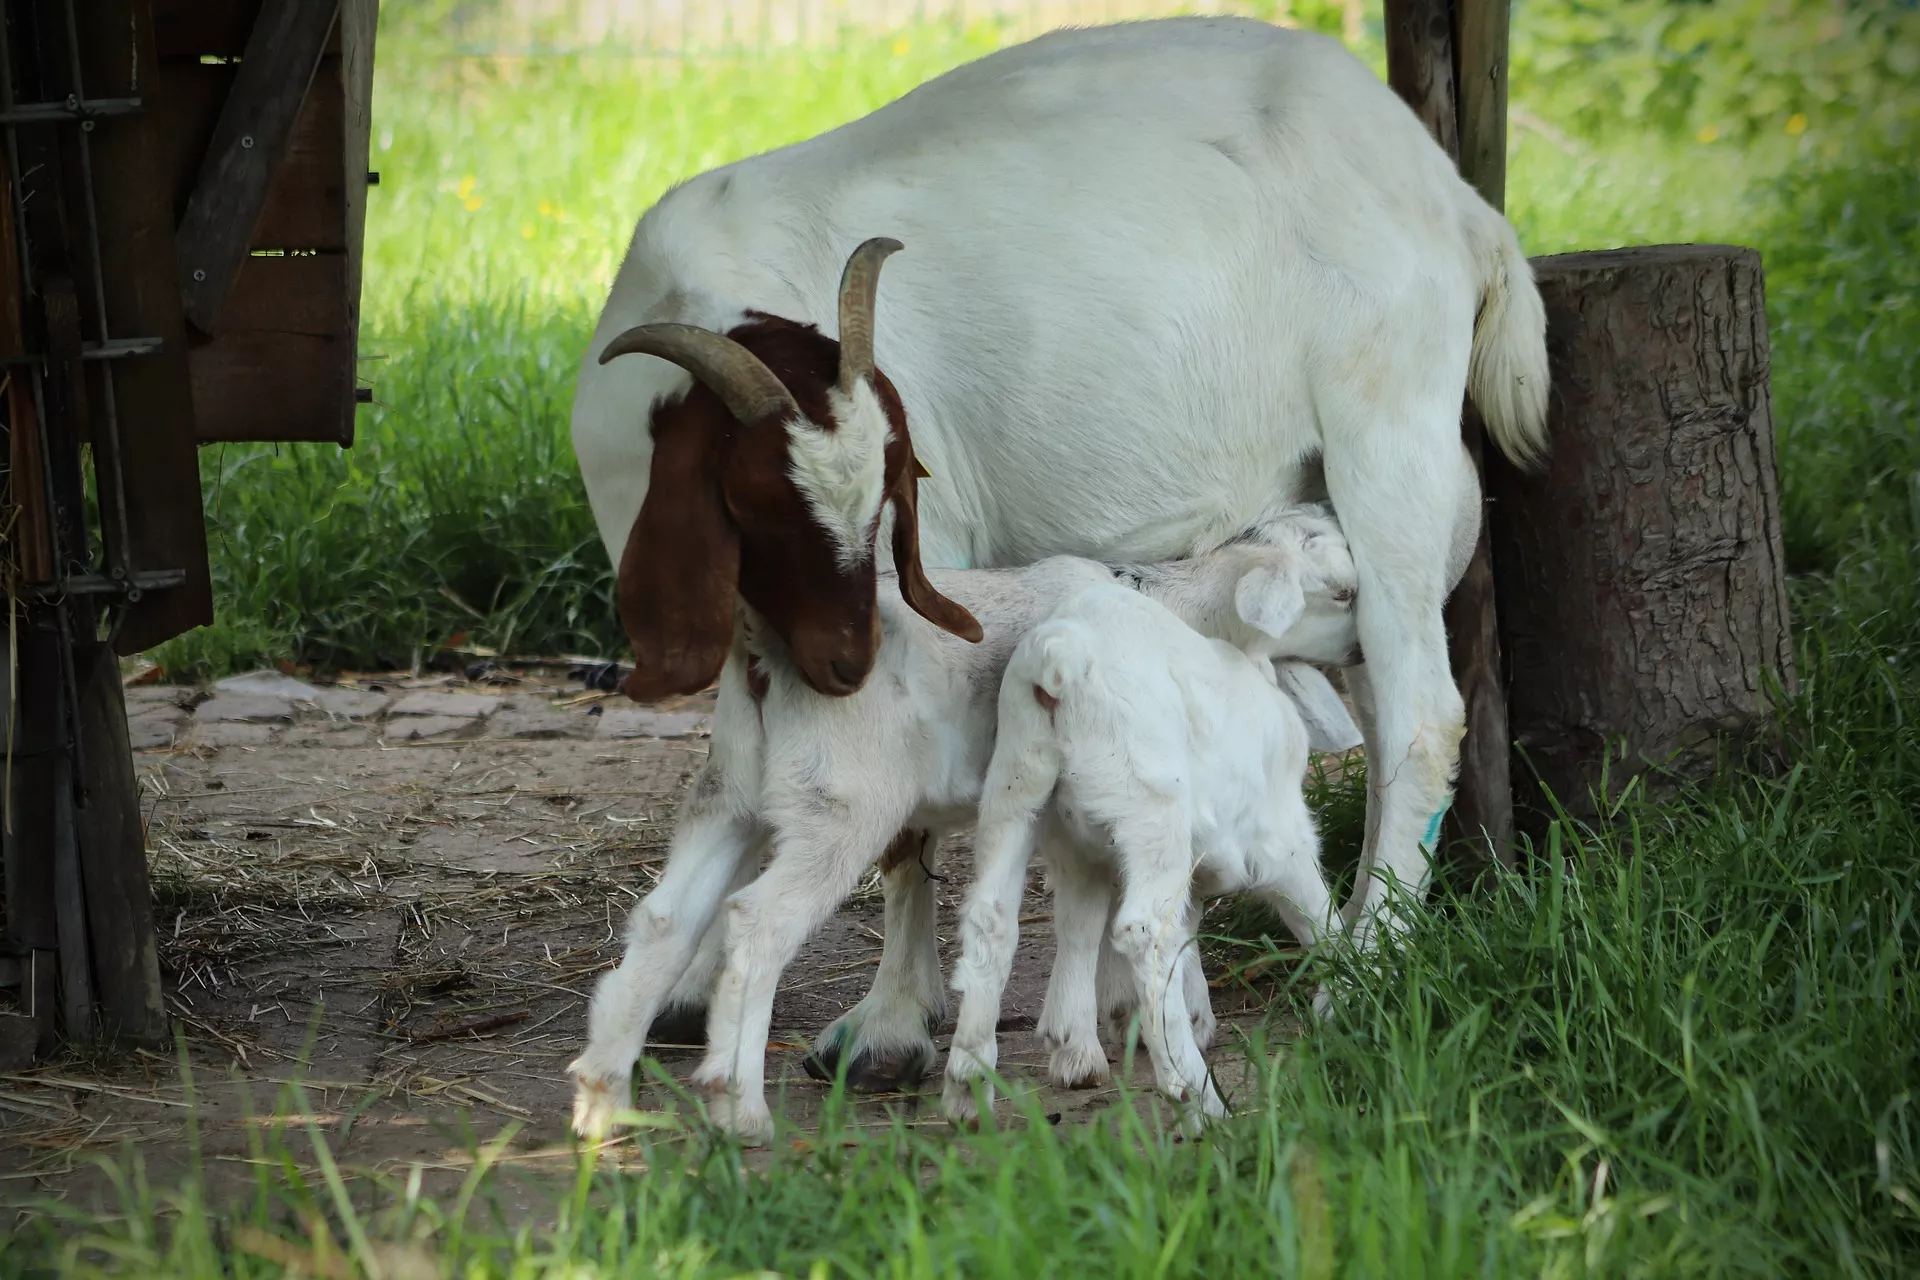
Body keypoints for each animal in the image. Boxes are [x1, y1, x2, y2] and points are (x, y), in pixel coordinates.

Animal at [564, 14, 1543, 1105]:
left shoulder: (925, 569)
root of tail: (1461, 207)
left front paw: (887, 1026)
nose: (844, 665)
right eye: (755, 505)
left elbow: (901, 822)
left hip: (1390, 429)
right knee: (1374, 695)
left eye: (887, 493)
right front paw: (685, 987)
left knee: (1422, 717)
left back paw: (1363, 971)